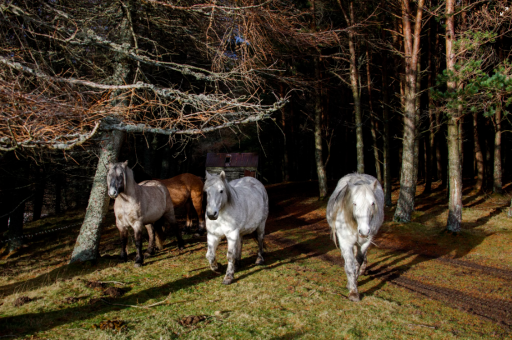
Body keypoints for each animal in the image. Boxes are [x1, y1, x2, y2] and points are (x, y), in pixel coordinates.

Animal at [328, 174, 384, 302]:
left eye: (373, 203)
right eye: (354, 203)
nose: (364, 231)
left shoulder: (365, 242)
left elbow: (358, 261)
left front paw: (354, 286)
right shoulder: (345, 242)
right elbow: (350, 266)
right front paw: (353, 292)